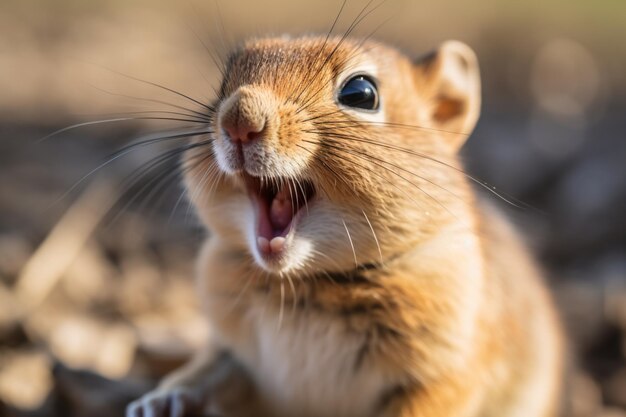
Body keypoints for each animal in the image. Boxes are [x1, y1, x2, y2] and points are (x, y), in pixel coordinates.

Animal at [124, 35, 564, 416]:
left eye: (361, 93)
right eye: (222, 83)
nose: (238, 119)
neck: (306, 281)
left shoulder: (444, 376)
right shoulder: (232, 353)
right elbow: (206, 370)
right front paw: (158, 402)